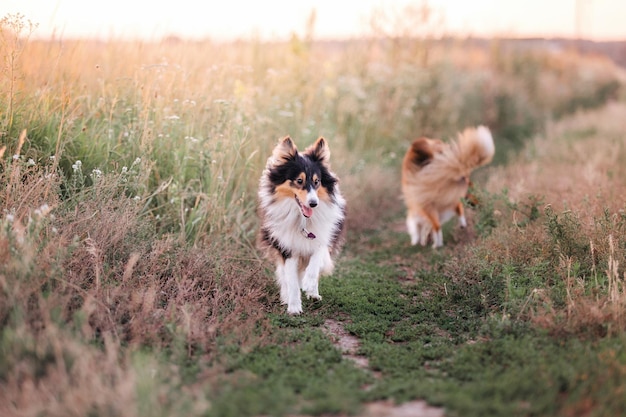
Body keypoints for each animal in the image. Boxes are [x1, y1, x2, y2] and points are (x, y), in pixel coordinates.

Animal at [258, 135, 346, 314]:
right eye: (299, 180)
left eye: (317, 182)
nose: (314, 204)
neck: (302, 219)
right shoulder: (287, 248)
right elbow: (291, 280)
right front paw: (293, 307)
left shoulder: (322, 238)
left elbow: (316, 262)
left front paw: (309, 284)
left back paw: (313, 293)